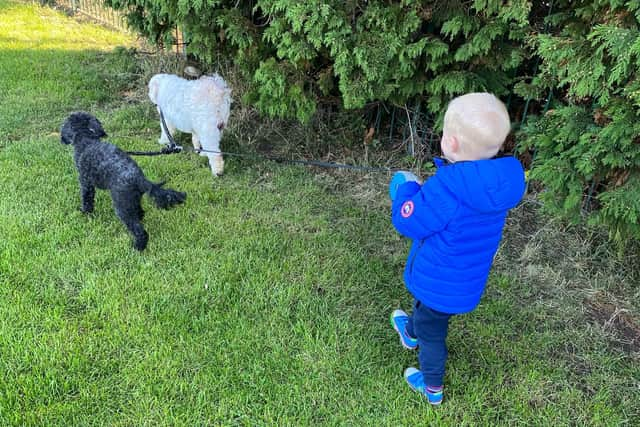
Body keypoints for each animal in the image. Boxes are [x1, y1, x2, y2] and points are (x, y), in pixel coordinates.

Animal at [61, 112, 186, 252]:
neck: (86, 140)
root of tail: (140, 179)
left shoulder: (86, 182)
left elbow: (87, 199)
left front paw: (85, 212)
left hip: (121, 206)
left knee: (139, 230)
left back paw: (138, 247)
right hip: (132, 199)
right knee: (139, 212)